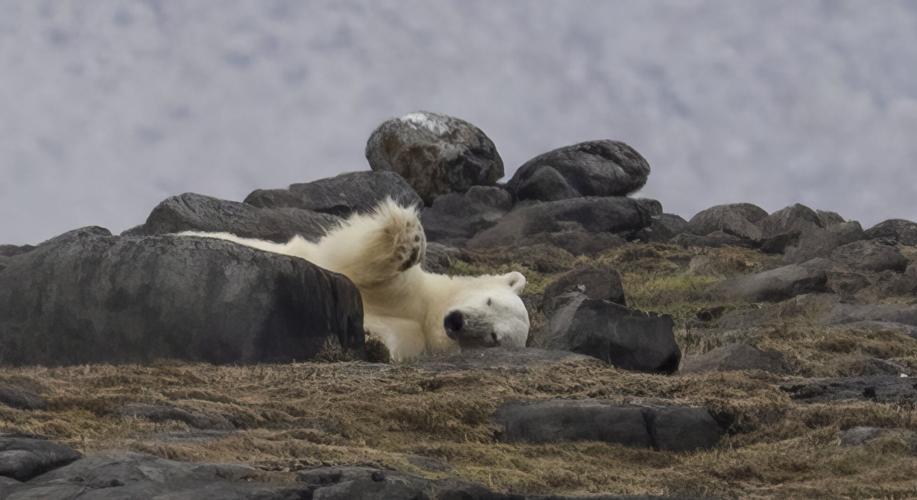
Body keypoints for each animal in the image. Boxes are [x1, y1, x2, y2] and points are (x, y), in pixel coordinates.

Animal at [179, 199, 530, 361]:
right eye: (489, 300)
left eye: (494, 337)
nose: (457, 321)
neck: (428, 312)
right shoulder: (410, 293)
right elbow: (363, 266)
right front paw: (409, 239)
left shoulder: (414, 337)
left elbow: (386, 336)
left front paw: (372, 342)